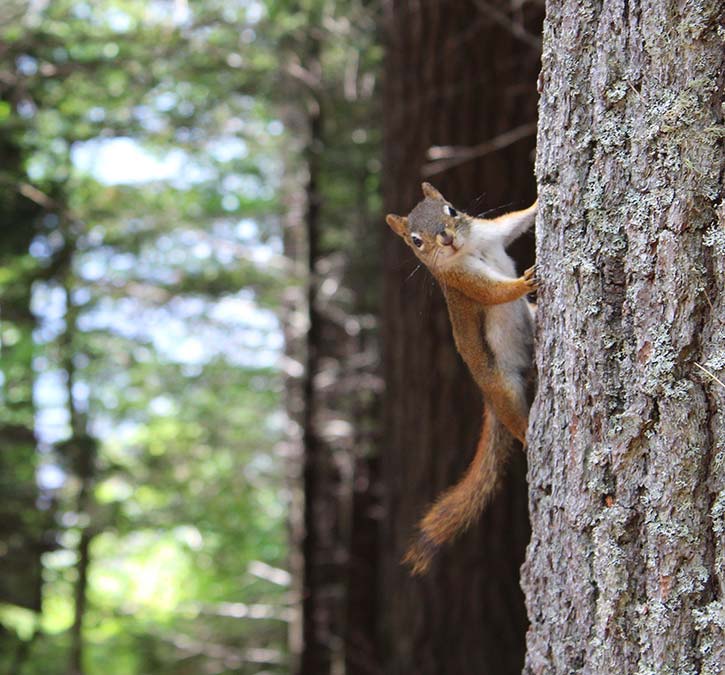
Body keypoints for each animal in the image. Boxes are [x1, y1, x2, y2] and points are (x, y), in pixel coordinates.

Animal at [388, 182, 536, 572]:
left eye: (451, 210)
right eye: (416, 241)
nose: (446, 239)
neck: (469, 248)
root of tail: (488, 399)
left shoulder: (492, 232)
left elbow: (516, 221)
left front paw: (539, 201)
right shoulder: (461, 281)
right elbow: (493, 292)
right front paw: (523, 282)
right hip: (503, 388)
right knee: (516, 421)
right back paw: (529, 435)